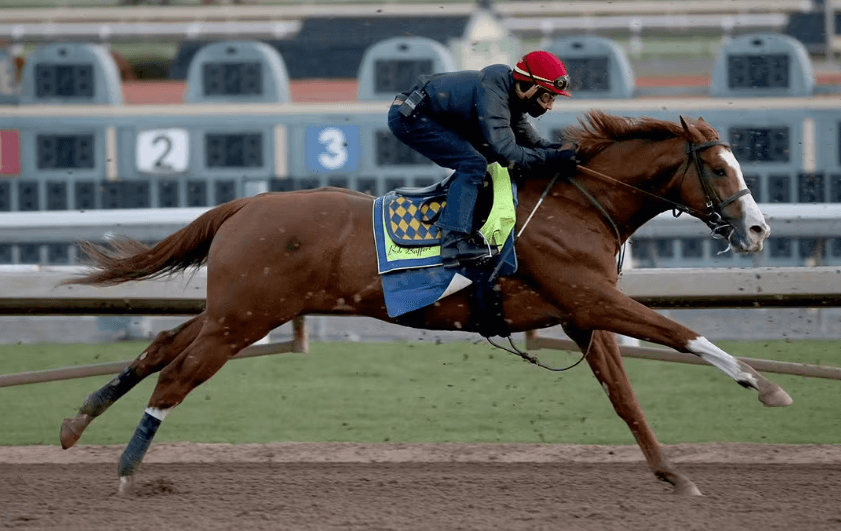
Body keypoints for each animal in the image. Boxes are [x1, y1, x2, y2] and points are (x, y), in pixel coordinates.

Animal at [58, 110, 791, 497]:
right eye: (719, 169)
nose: (758, 230)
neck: (580, 205)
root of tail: (245, 204)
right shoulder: (592, 299)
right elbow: (680, 332)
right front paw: (764, 386)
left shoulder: (582, 316)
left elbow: (627, 400)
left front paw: (672, 475)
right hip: (244, 317)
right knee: (178, 375)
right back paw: (126, 470)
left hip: (235, 311)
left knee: (161, 346)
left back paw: (78, 420)